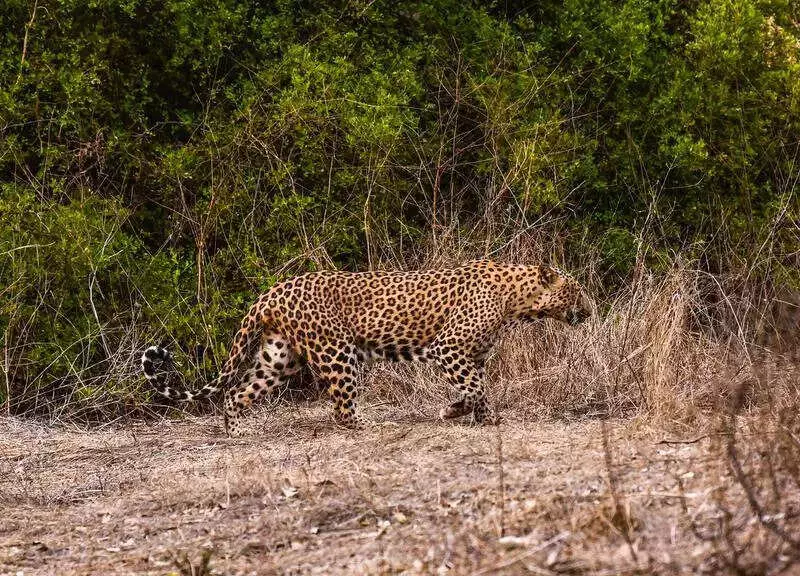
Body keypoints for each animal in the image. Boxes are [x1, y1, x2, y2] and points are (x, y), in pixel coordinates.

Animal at [141, 260, 592, 436]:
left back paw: (237, 431)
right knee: (341, 409)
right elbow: (476, 387)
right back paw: (368, 425)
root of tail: (272, 291)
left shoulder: (472, 355)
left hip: (278, 357)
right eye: (576, 291)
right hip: (337, 352)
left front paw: (476, 416)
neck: (518, 301)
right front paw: (462, 413)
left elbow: (475, 387)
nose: (590, 311)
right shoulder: (448, 348)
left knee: (238, 391)